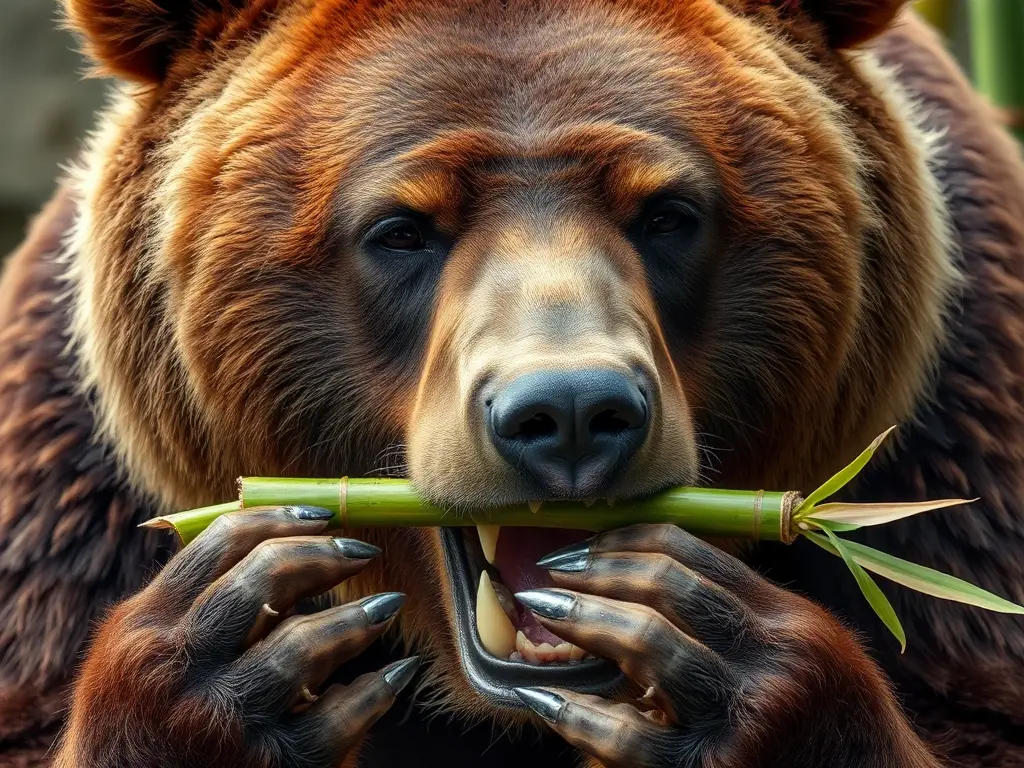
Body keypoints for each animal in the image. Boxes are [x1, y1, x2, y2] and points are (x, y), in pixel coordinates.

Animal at [2, 0, 1024, 765]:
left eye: (668, 212)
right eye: (401, 229)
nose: (570, 412)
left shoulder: (956, 404)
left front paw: (722, 653)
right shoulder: (68, 467)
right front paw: (225, 653)